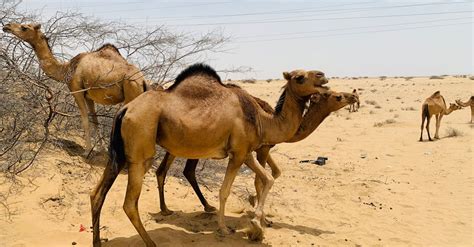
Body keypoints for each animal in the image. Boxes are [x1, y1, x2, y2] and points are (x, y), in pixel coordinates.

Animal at [2, 22, 148, 152]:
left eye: (24, 27)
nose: (6, 26)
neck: (66, 69)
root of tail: (143, 81)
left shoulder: (76, 90)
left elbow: (85, 120)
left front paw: (87, 151)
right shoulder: (89, 96)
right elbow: (95, 119)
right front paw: (101, 149)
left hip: (131, 91)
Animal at [88, 62, 326, 246]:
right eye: (300, 78)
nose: (322, 76)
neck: (261, 119)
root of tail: (124, 110)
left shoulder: (246, 152)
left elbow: (266, 179)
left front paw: (257, 225)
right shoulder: (239, 153)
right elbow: (226, 190)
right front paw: (232, 228)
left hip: (118, 152)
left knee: (96, 194)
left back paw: (97, 241)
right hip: (141, 146)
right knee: (130, 202)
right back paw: (151, 242)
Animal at [156, 89, 360, 217]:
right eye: (338, 96)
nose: (354, 97)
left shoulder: (264, 147)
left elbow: (276, 172)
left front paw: (254, 203)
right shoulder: (261, 149)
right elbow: (260, 179)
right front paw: (257, 209)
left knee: (166, 170)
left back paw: (175, 208)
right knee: (185, 170)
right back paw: (197, 207)